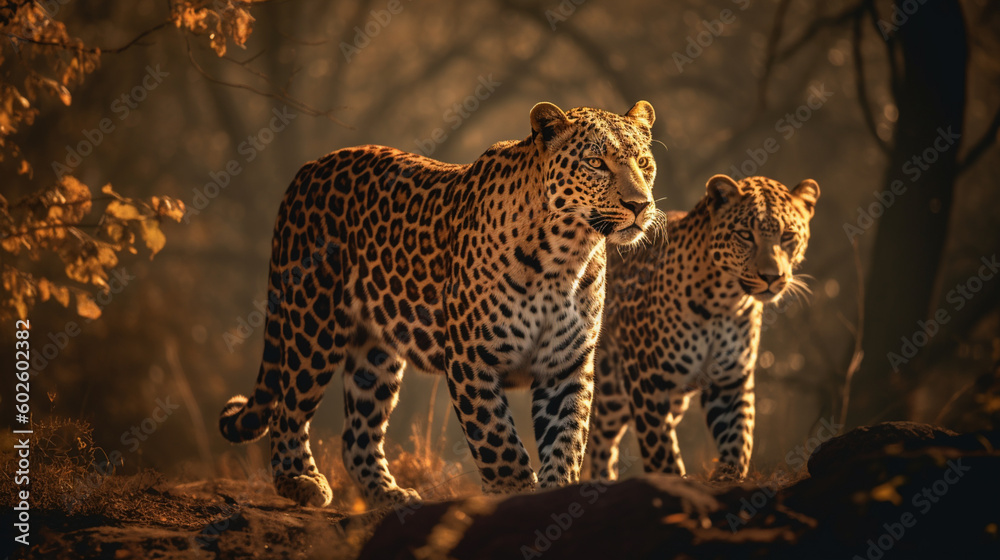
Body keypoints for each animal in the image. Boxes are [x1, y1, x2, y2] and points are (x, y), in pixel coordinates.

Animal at [219, 100, 659, 507]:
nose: (640, 205)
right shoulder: (472, 357)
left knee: (357, 433)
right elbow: (499, 441)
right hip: (313, 323)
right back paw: (300, 481)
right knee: (288, 409)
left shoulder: (566, 364)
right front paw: (513, 494)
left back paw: (390, 495)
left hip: (374, 353)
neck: (566, 256)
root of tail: (307, 169)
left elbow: (567, 437)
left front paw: (555, 494)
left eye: (643, 163)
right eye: (596, 163)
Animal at [587, 174, 819, 482]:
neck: (725, 301)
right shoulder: (647, 381)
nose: (771, 277)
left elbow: (738, 443)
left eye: (788, 237)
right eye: (745, 235)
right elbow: (662, 455)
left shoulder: (730, 382)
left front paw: (728, 479)